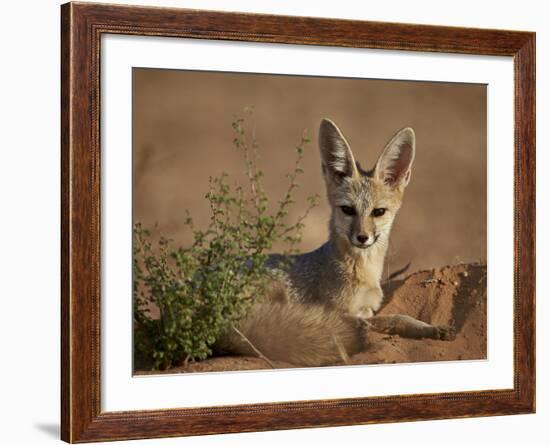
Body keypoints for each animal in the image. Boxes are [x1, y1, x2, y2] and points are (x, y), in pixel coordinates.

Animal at [218, 118, 454, 364]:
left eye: (378, 212)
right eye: (348, 210)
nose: (362, 237)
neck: (364, 272)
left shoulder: (368, 308)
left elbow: (398, 317)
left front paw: (430, 328)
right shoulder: (341, 311)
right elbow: (388, 319)